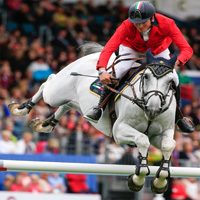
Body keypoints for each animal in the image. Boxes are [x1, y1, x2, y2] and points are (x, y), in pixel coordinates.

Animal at [8, 42, 178, 194]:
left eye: (170, 82)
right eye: (146, 77)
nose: (153, 108)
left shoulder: (160, 133)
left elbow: (168, 145)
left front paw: (160, 180)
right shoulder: (119, 130)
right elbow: (143, 139)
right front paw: (138, 179)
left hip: (75, 101)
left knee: (67, 104)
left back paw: (47, 123)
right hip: (56, 92)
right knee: (48, 82)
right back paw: (21, 109)